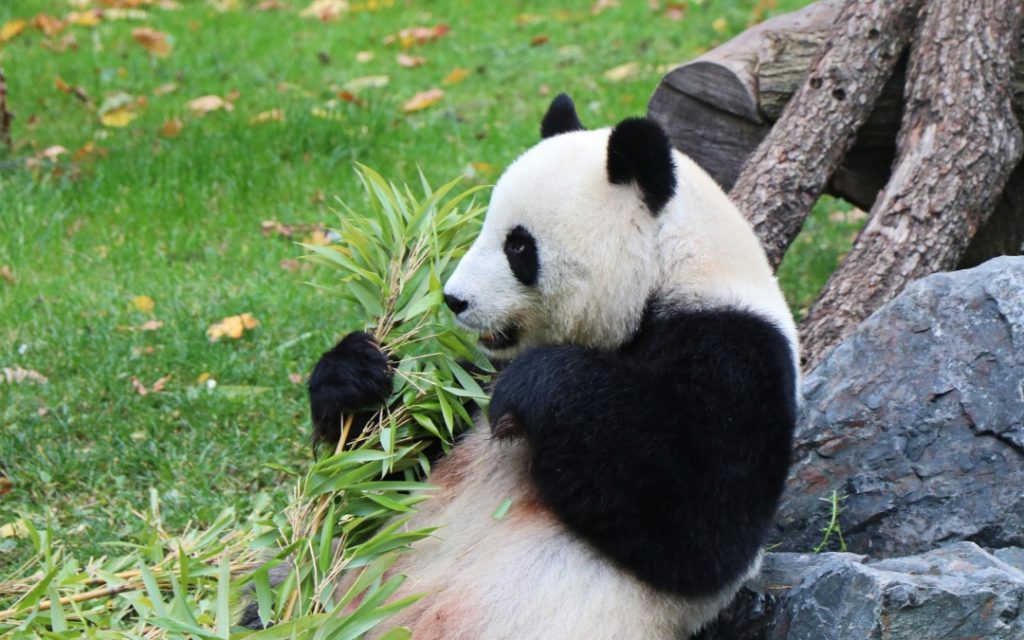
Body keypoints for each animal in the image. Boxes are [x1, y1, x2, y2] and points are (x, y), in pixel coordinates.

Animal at [302, 94, 799, 639]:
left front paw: (536, 384)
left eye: (518, 245)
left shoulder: (737, 350)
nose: (454, 299)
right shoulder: (470, 387)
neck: (672, 274)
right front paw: (355, 374)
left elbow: (704, 524)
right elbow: (386, 471)